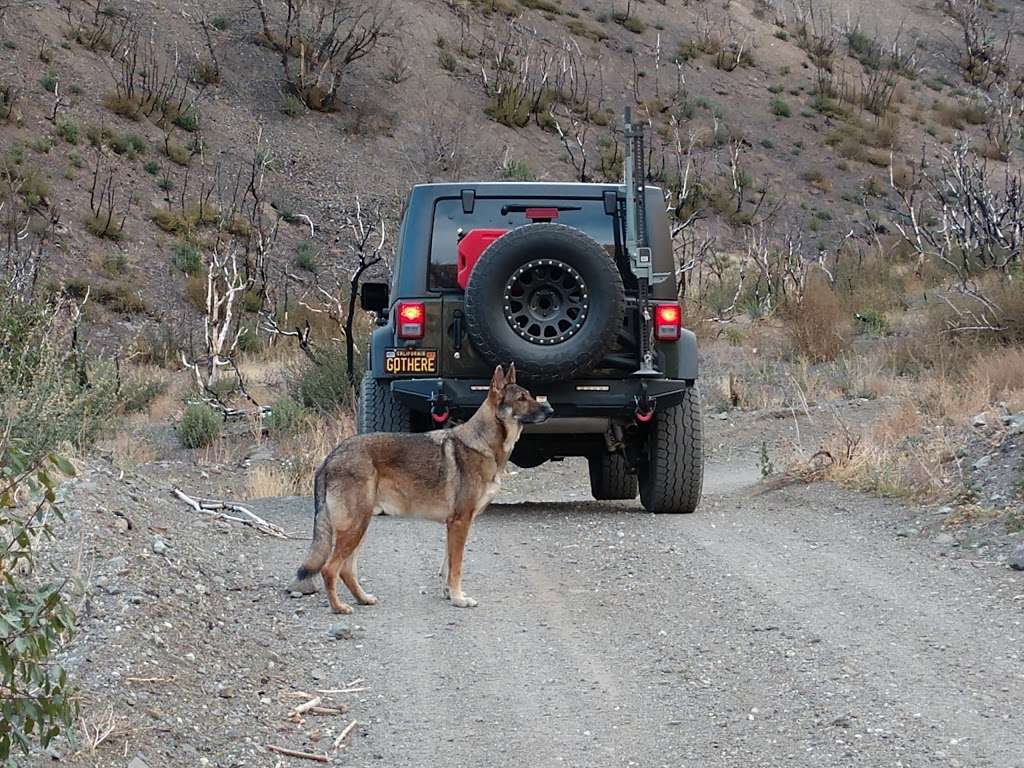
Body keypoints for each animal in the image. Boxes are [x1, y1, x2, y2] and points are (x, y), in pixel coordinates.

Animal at [292, 364, 557, 614]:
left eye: (530, 395)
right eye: (521, 398)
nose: (551, 410)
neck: (484, 443)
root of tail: (330, 457)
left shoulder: (454, 526)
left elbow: (447, 567)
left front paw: (451, 594)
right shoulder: (460, 523)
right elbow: (456, 567)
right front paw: (459, 600)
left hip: (360, 528)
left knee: (346, 570)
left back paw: (363, 599)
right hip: (354, 528)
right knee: (329, 569)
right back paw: (338, 607)